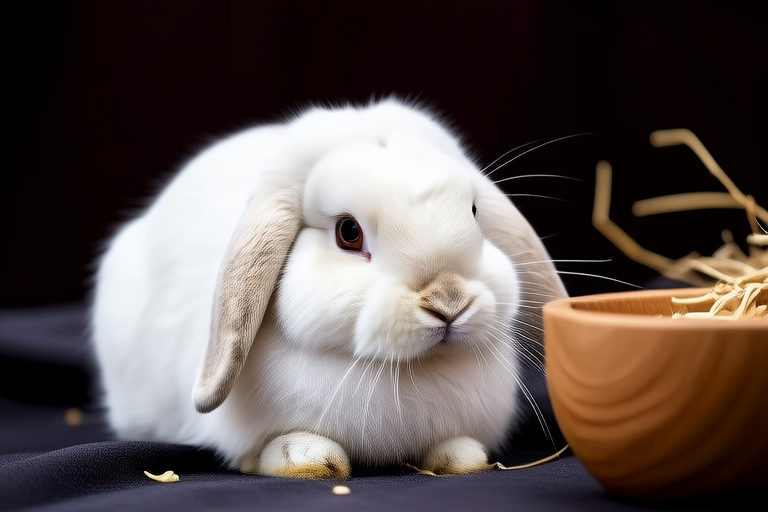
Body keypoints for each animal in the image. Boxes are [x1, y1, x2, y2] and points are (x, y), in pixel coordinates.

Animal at [91, 98, 568, 480]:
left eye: (473, 212)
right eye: (348, 233)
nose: (448, 302)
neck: (403, 369)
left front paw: (461, 458)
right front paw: (305, 459)